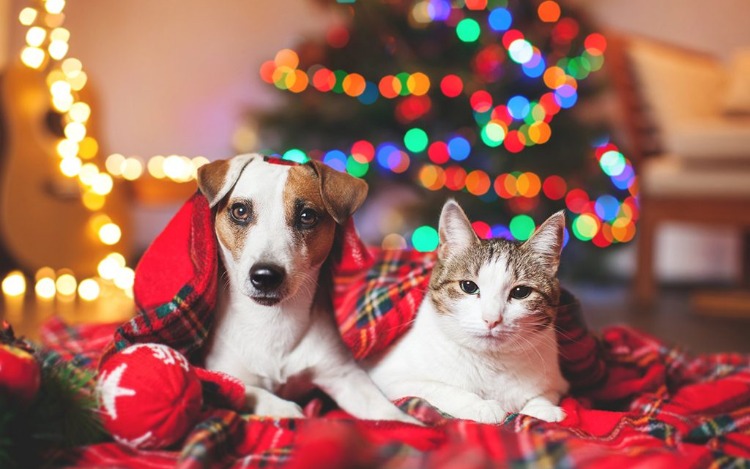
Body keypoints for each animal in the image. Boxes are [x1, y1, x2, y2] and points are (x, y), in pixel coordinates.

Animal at [194, 153, 418, 420]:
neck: (272, 321)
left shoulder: (344, 375)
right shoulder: (223, 373)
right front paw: (283, 408)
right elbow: (244, 389)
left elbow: (386, 411)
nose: (266, 276)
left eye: (307, 216)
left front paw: (411, 423)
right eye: (240, 211)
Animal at [368, 199, 568, 422]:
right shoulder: (389, 378)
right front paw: (480, 405)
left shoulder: (557, 383)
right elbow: (439, 388)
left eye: (520, 292)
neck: (491, 364)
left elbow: (544, 394)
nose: (491, 319)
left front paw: (542, 408)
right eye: (469, 286)